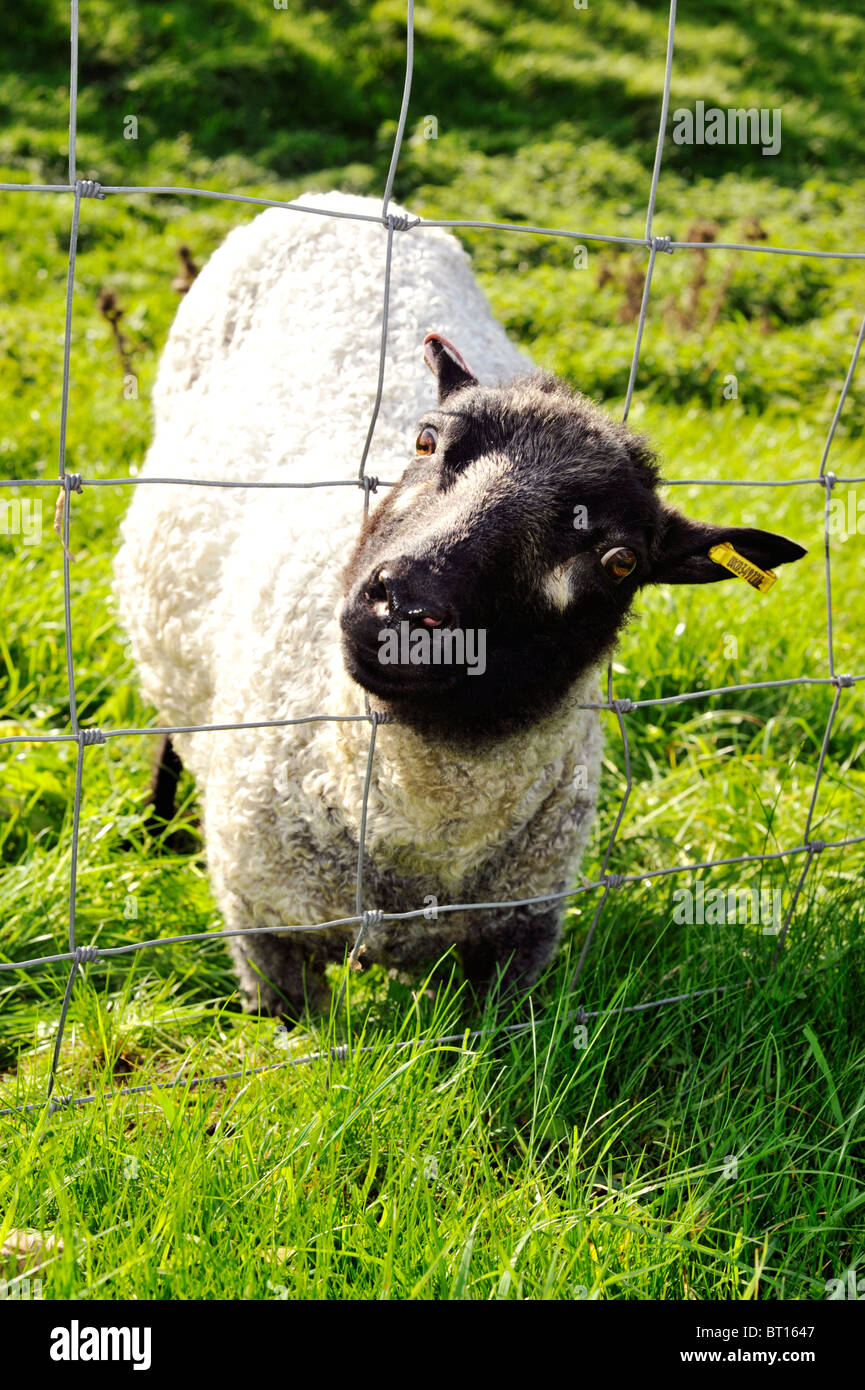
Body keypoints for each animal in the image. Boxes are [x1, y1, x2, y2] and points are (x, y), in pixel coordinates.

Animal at [113, 190, 806, 1017]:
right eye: (424, 441)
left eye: (617, 561)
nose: (404, 605)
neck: (420, 819)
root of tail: (344, 199)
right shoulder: (266, 929)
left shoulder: (517, 939)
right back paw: (154, 830)